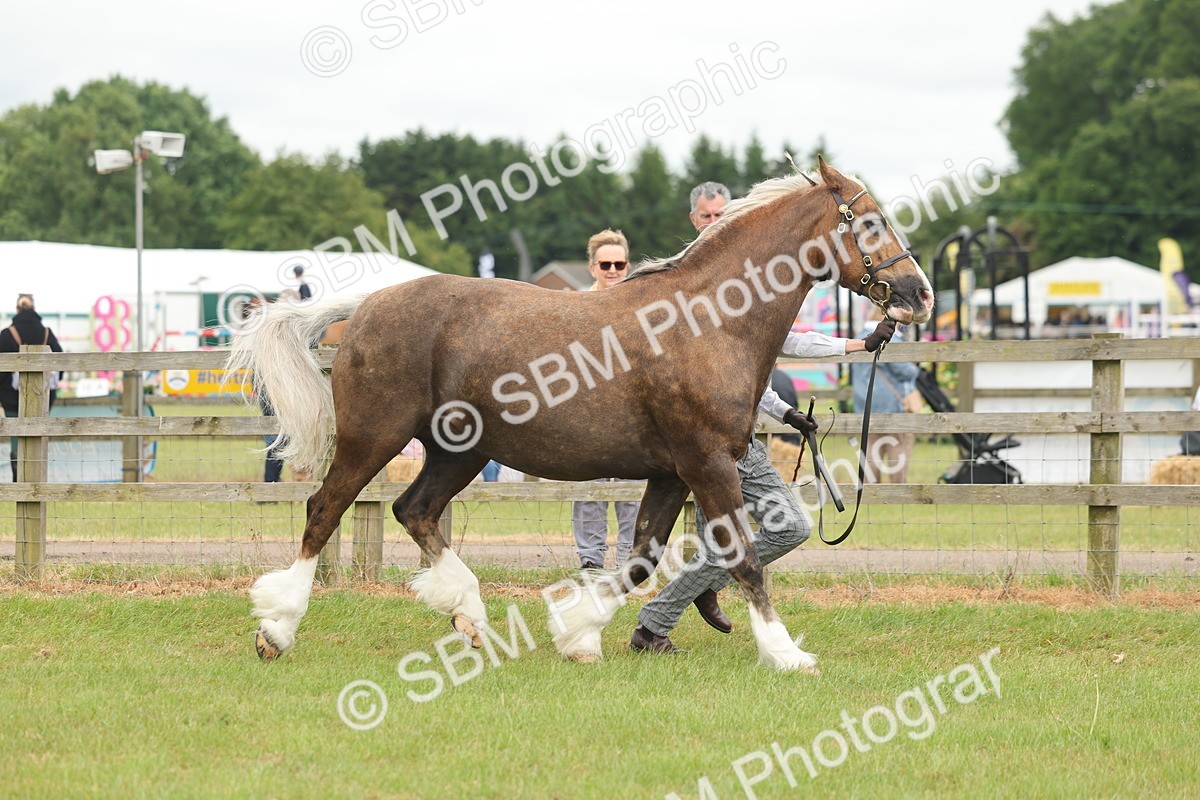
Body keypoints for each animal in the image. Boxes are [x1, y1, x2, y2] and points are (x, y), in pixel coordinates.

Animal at [228, 159, 933, 670]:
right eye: (872, 221)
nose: (919, 295)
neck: (710, 320)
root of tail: (368, 305)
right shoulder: (706, 463)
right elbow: (743, 558)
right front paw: (786, 653)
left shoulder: (671, 471)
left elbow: (641, 561)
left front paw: (577, 634)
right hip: (373, 437)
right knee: (325, 510)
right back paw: (278, 629)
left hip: (461, 450)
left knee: (415, 510)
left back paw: (470, 616)